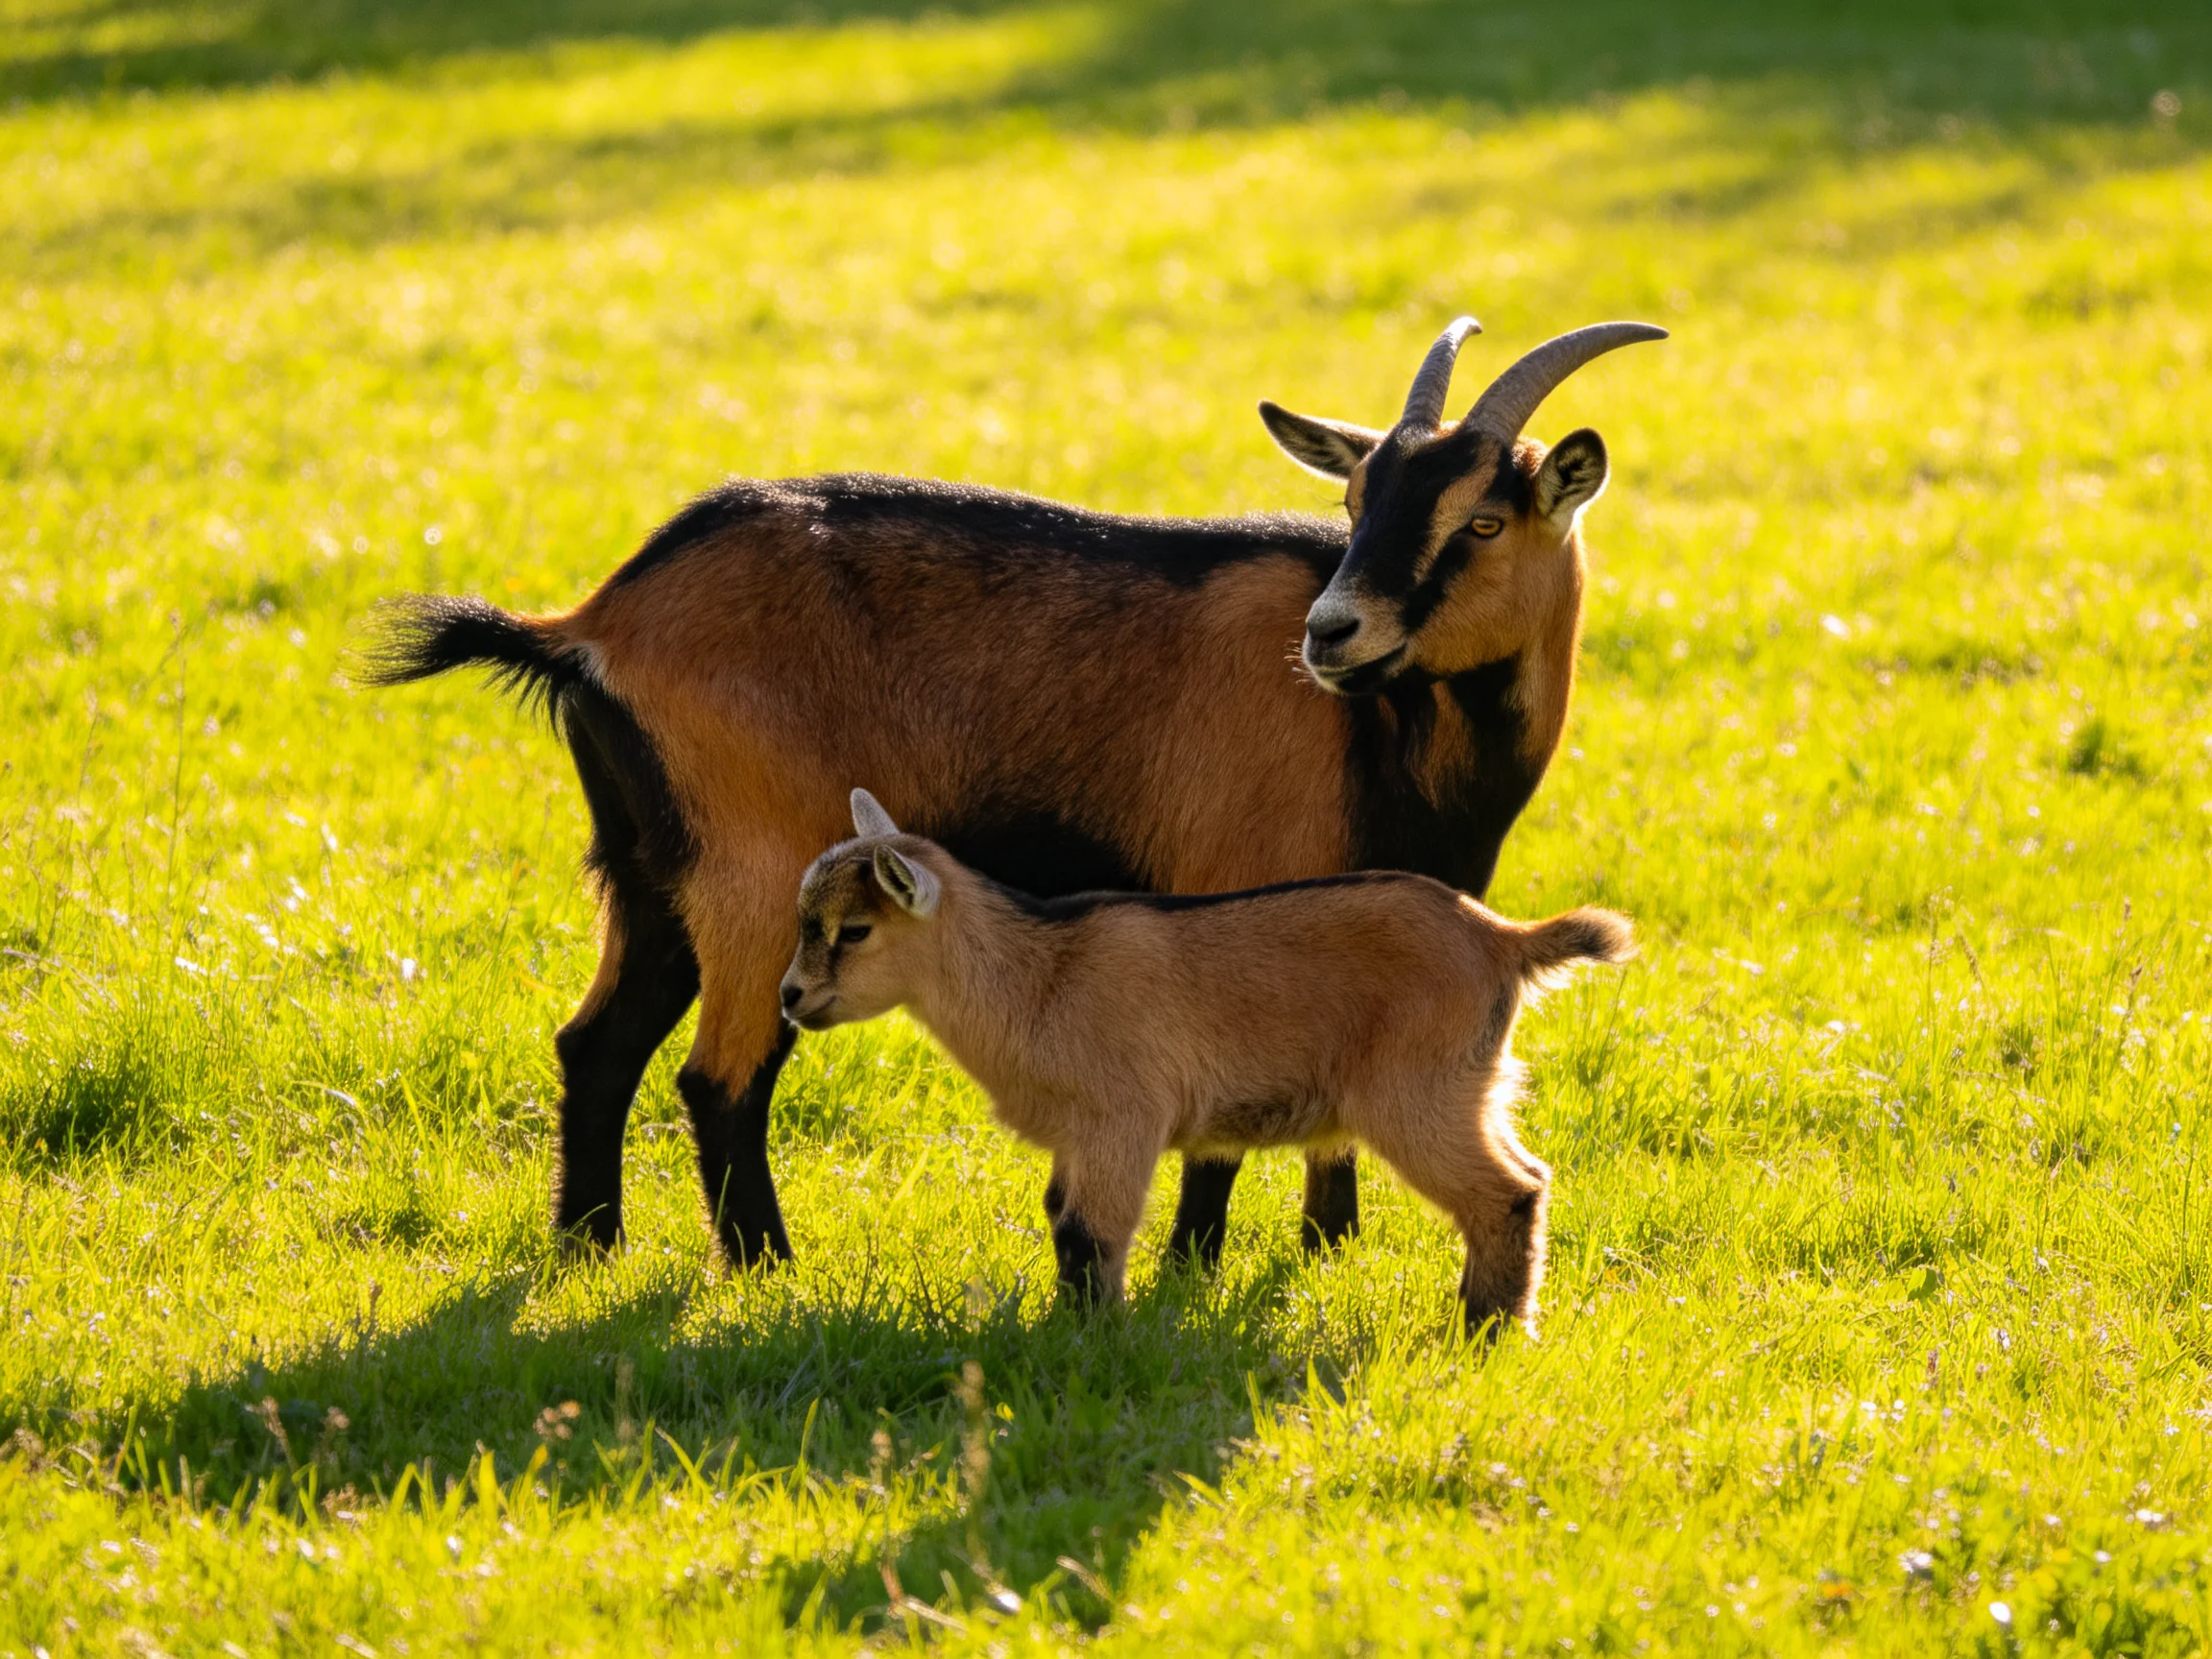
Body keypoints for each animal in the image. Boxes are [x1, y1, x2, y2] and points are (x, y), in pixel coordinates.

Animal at [361, 318, 1664, 1272]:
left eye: (1482, 519)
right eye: (1354, 509)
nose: (1332, 630)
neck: (1386, 738)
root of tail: (588, 627)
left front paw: (1325, 1251)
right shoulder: (1233, 889)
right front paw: (1197, 1264)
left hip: (647, 868)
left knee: (597, 1045)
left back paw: (590, 1248)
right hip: (752, 870)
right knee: (718, 1075)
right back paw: (767, 1269)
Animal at [781, 790, 1634, 1333]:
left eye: (853, 930)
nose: (790, 996)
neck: (1037, 976)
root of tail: (1502, 938)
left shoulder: (1122, 1119)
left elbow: (1090, 1231)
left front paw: (1093, 1339)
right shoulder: (1077, 1136)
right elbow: (1061, 1218)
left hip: (1418, 1096)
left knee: (1507, 1193)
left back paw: (1483, 1331)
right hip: (1470, 1089)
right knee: (1529, 1175)